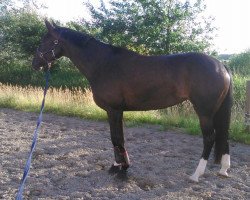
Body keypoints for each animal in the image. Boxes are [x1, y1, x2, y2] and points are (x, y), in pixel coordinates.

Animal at [32, 20, 232, 183]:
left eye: (44, 41)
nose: (34, 64)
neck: (103, 64)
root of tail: (221, 65)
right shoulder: (115, 111)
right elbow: (116, 138)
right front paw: (116, 167)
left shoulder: (114, 110)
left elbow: (116, 139)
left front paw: (122, 170)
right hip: (216, 112)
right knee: (224, 133)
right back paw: (223, 170)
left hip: (204, 112)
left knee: (210, 138)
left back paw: (196, 175)